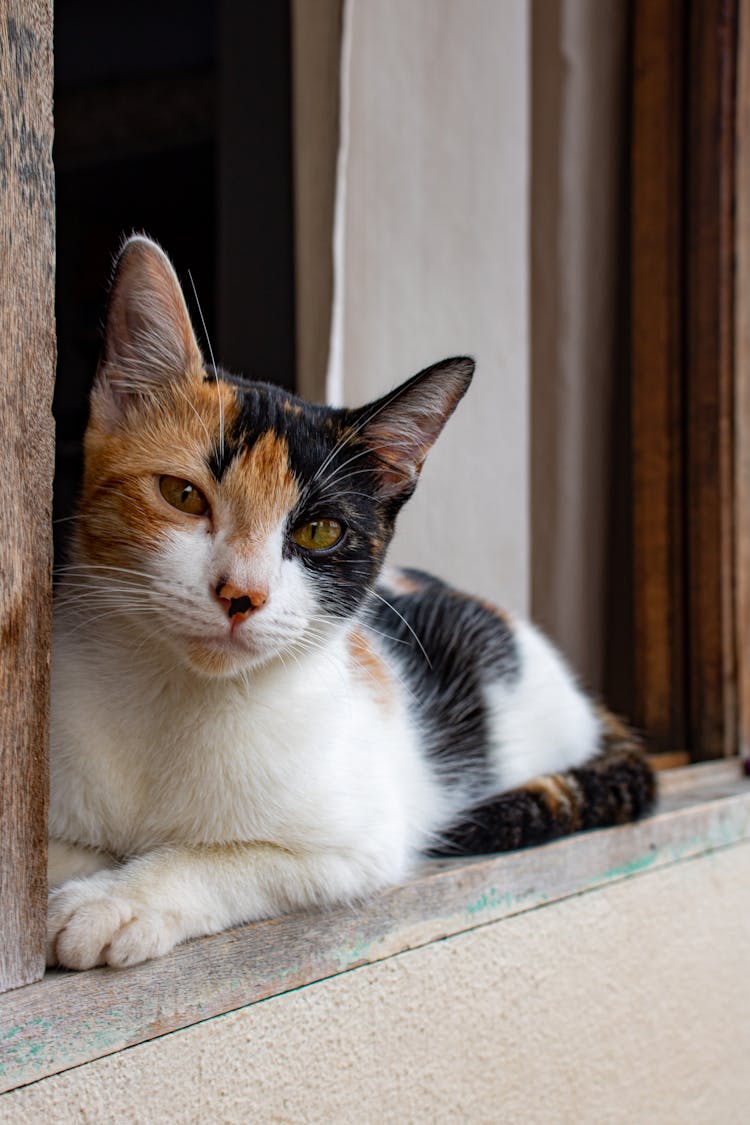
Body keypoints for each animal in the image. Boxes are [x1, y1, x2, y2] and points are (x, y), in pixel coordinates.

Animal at [48, 235, 656, 967]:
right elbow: (59, 850)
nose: (241, 594)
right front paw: (86, 870)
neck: (174, 701)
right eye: (182, 494)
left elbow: (228, 859)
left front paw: (117, 900)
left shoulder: (358, 844)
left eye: (319, 531)